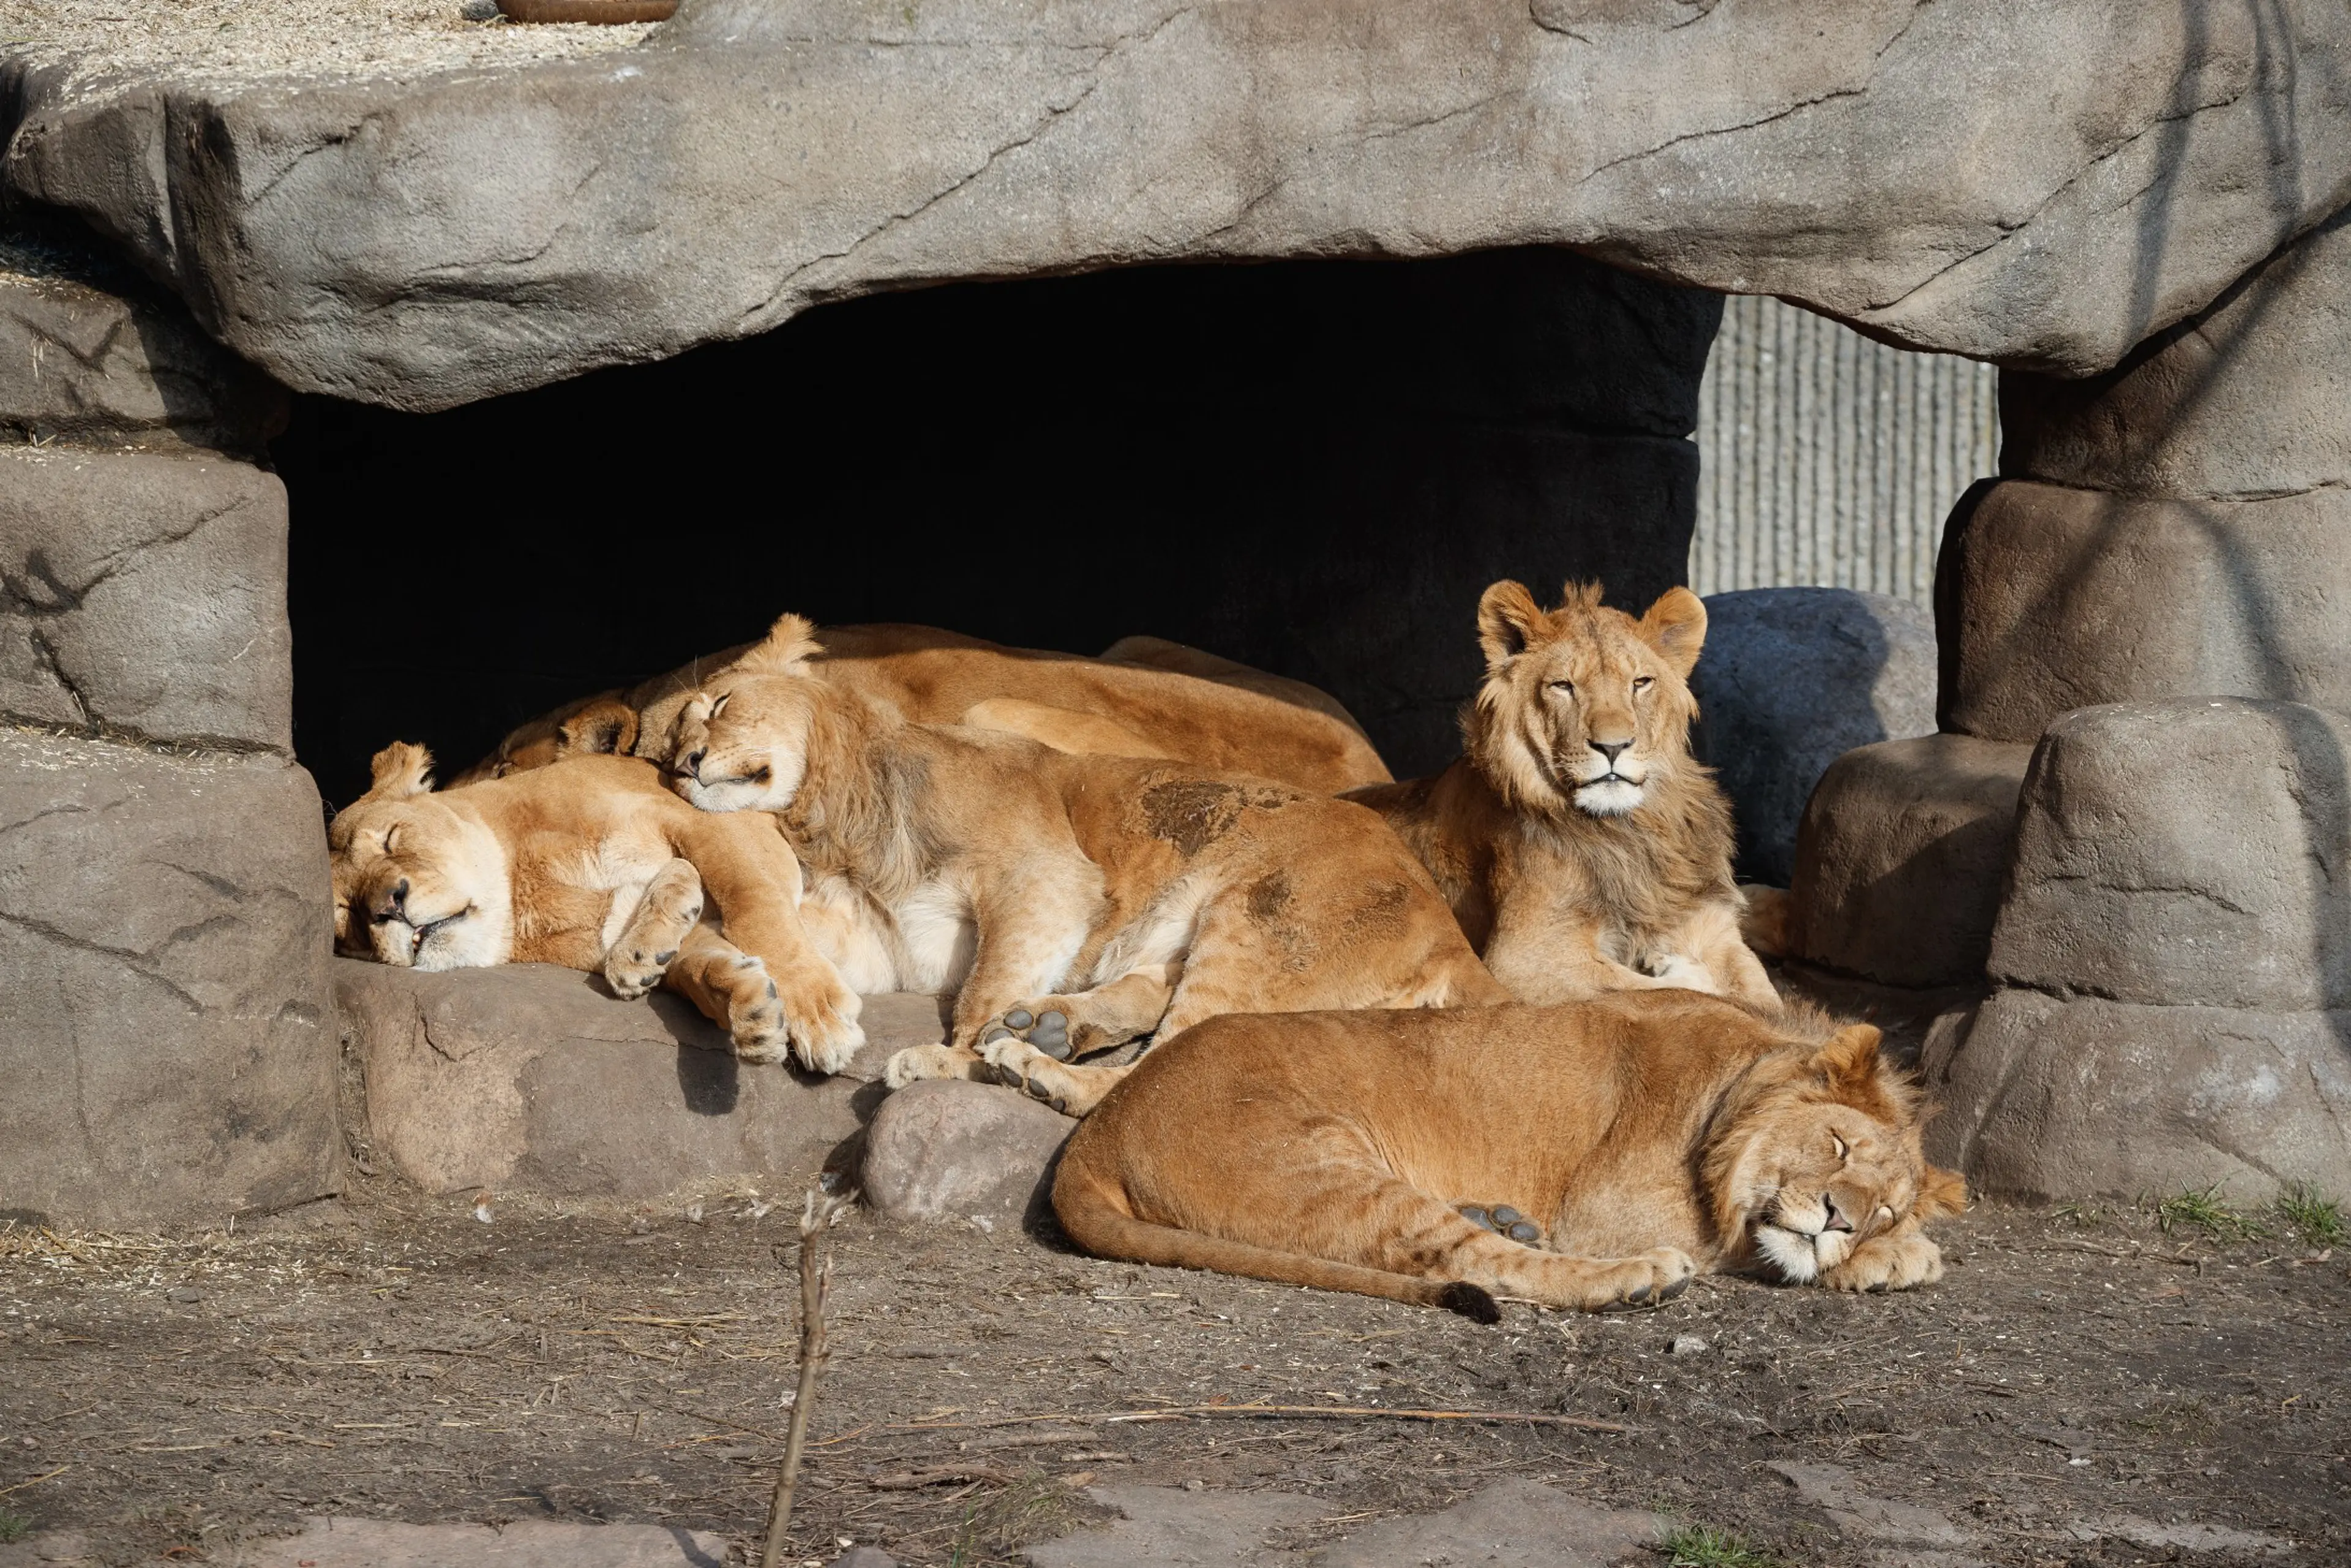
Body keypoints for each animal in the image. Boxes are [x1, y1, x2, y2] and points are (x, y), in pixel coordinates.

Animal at [329, 743, 863, 1070]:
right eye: (346, 914)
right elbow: (692, 962)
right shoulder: (613, 927)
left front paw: (819, 1015)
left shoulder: (707, 816)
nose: (388, 906)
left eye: (391, 839)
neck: (521, 878)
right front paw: (749, 1006)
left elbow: (752, 902)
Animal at [664, 615, 1507, 1115]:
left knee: (1148, 1076)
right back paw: (1048, 1030)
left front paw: (949, 1049)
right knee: (1145, 1011)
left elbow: (982, 987)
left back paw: (1024, 1061)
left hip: (1261, 923)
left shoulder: (1045, 875)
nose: (682, 766)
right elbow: (772, 937)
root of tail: (1450, 935)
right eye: (670, 744)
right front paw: (760, 1003)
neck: (830, 820)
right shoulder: (879, 940)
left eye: (720, 706)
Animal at [1054, 992, 1966, 1316]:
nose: (1842, 1219)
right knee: (1479, 1264)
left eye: (1882, 1204)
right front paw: (1899, 1258)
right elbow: (1749, 1243)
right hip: (1322, 1163)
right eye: (1837, 1143)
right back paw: (1634, 1279)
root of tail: (1106, 1121)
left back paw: (1506, 1218)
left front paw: (1891, 1250)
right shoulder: (1614, 1210)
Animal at [1345, 580, 1779, 1013]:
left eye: (1640, 683)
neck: (1631, 832)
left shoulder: (1714, 928)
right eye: (1563, 686)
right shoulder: (1524, 959)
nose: (1613, 746)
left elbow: (1763, 997)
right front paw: (1676, 970)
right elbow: (1677, 992)